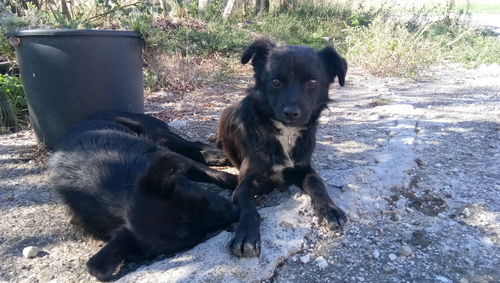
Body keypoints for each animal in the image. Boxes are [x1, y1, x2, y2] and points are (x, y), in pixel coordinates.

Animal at [47, 115, 239, 282]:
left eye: (205, 201)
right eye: (199, 236)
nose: (236, 211)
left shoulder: (169, 159)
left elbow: (220, 176)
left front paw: (238, 181)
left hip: (158, 134)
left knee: (190, 145)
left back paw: (217, 154)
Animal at [217, 38, 350, 258]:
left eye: (312, 82)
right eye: (276, 82)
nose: (291, 113)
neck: (284, 133)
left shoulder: (304, 167)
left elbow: (318, 184)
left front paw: (330, 209)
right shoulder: (244, 183)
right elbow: (250, 209)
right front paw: (246, 236)